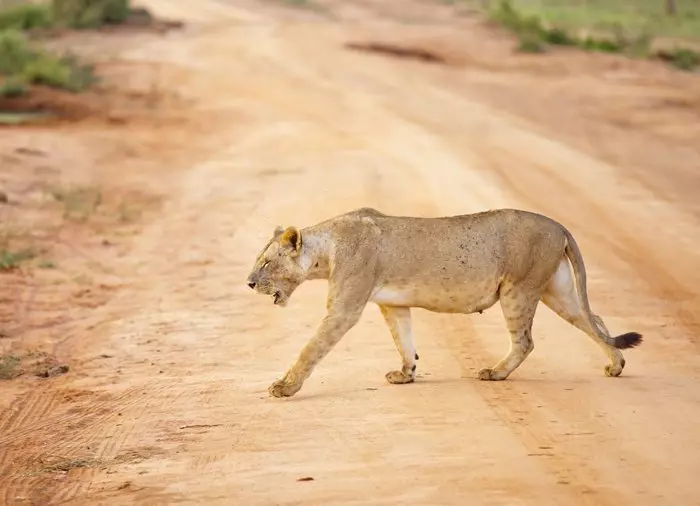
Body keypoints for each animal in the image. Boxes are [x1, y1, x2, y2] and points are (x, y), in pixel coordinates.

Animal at [246, 207, 642, 398]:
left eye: (265, 263)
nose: (249, 283)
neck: (326, 250)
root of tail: (558, 225)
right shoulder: (393, 304)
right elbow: (404, 340)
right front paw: (405, 374)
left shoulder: (345, 308)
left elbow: (310, 350)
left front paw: (284, 387)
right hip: (557, 292)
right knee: (596, 321)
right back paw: (616, 365)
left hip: (518, 289)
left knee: (526, 341)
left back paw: (495, 373)